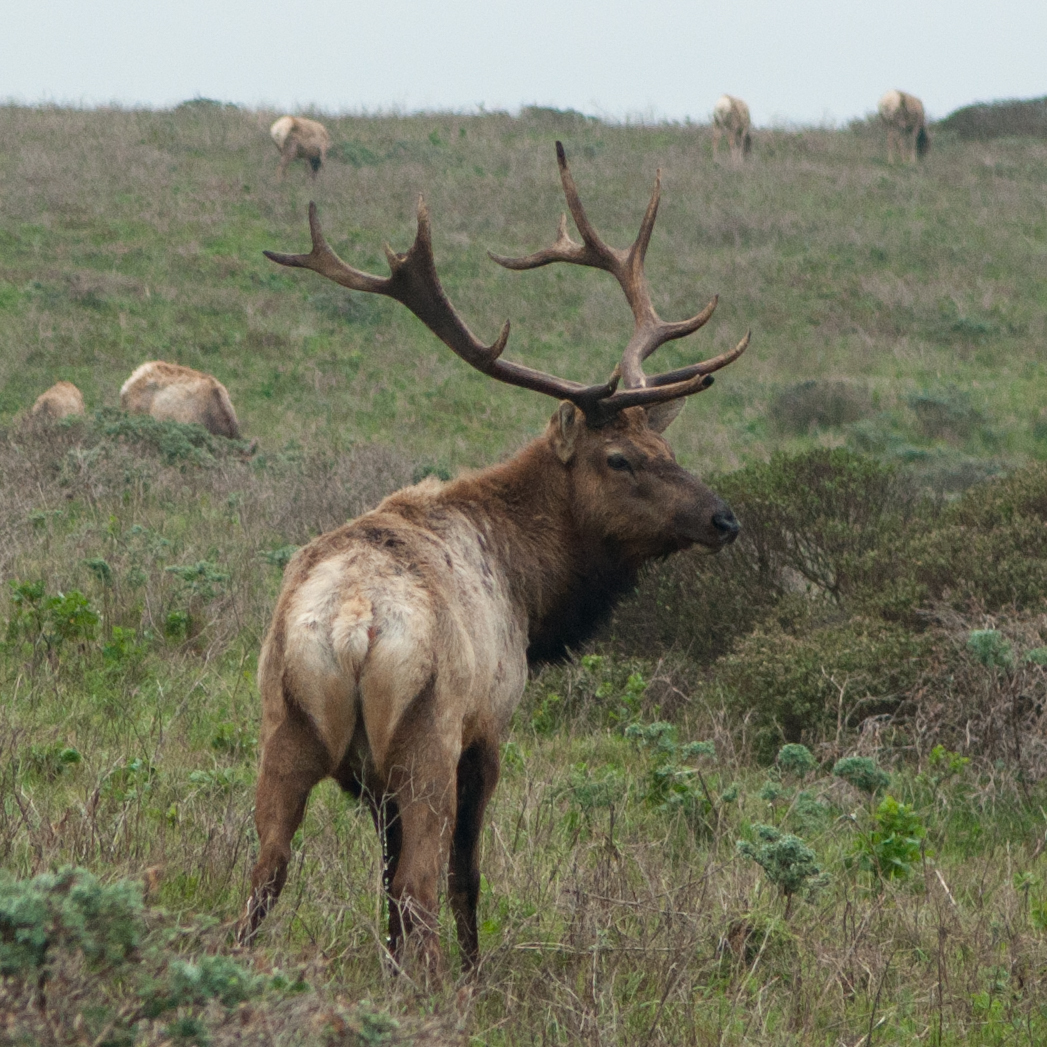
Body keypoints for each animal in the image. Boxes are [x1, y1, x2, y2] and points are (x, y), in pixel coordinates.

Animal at [237, 141, 749, 971]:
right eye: (619, 459)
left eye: (666, 448)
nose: (723, 518)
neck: (531, 589)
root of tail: (352, 622)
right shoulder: (489, 728)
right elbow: (462, 876)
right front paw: (475, 968)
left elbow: (381, 882)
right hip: (425, 738)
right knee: (420, 884)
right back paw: (444, 982)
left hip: (283, 726)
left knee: (264, 877)